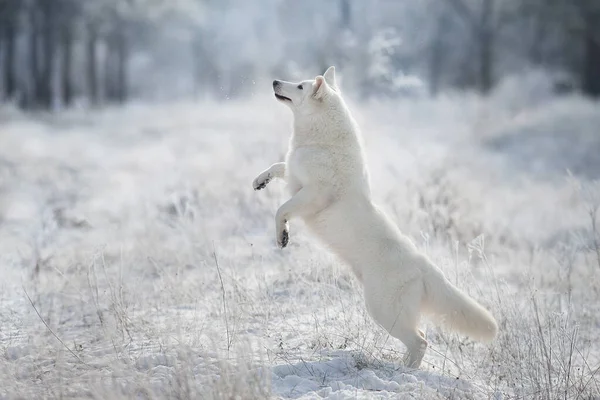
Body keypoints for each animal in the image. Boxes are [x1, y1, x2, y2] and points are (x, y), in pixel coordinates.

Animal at [252, 66, 496, 368]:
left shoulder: (312, 195)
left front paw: (282, 236)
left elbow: (281, 210)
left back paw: (404, 372)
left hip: (382, 309)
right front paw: (259, 181)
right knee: (421, 335)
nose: (275, 81)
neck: (322, 140)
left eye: (299, 86)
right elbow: (278, 165)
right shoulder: (295, 177)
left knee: (421, 341)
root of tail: (424, 267)